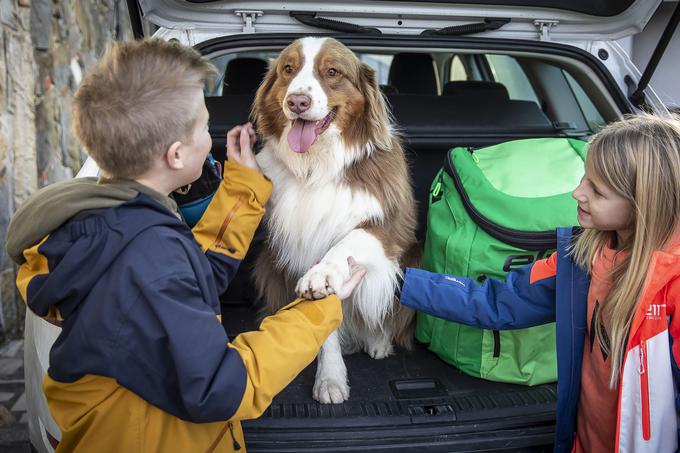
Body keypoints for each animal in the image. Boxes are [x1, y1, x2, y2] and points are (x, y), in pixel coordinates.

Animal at [251, 36, 418, 402]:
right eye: (288, 69)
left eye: (332, 72)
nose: (297, 101)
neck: (318, 166)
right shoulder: (300, 246)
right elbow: (323, 322)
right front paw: (330, 378)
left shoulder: (387, 228)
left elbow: (349, 241)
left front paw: (324, 272)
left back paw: (377, 341)